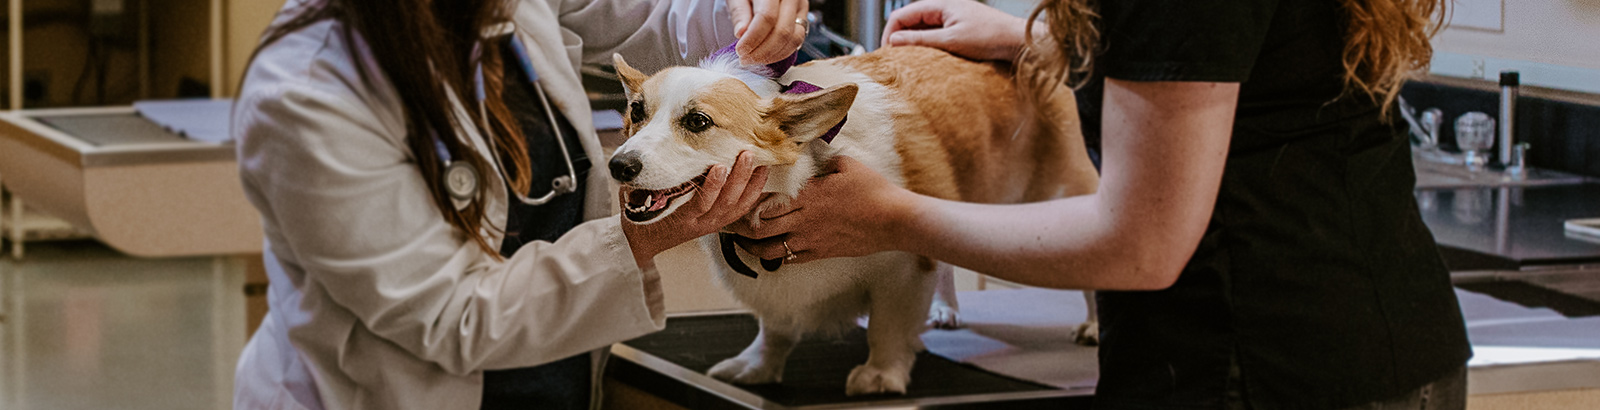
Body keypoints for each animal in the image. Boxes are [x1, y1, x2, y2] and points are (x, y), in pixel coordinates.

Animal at [608, 45, 1100, 395]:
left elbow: (887, 325)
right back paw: (946, 309)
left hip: (1061, 196)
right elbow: (774, 329)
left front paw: (881, 374)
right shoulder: (774, 293)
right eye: (636, 111)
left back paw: (1095, 327)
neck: (797, 178)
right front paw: (758, 366)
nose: (618, 166)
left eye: (697, 121)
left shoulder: (904, 266)